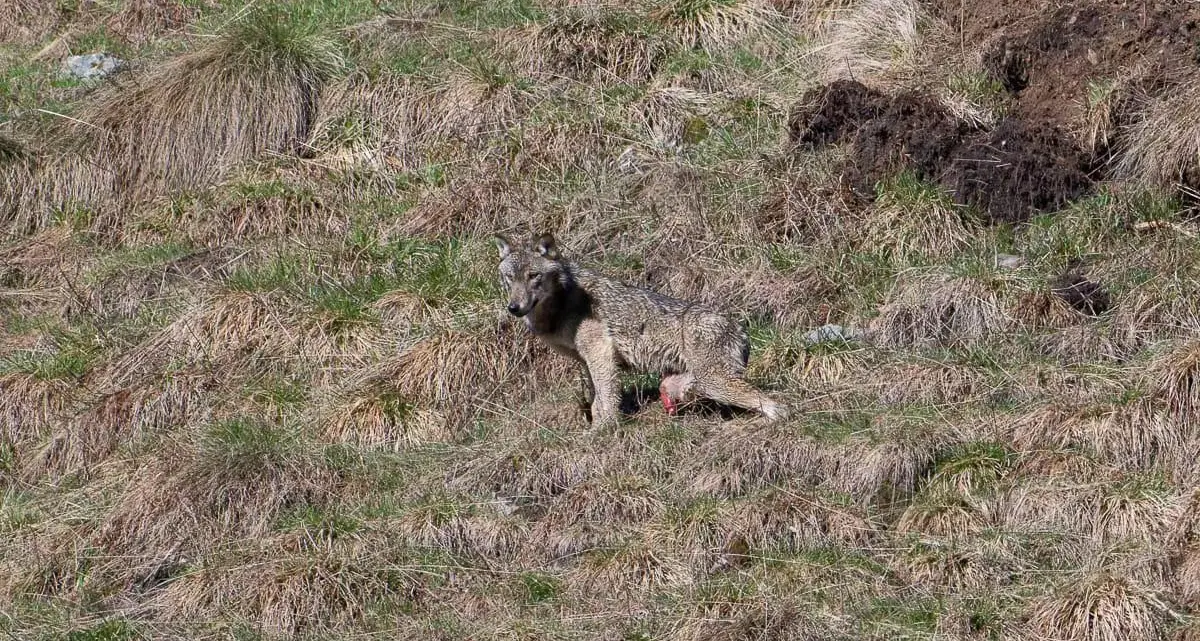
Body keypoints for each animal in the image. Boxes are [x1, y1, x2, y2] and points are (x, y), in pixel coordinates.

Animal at [496, 233, 788, 427]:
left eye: (533, 276)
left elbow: (605, 398)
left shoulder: (599, 351)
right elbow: (596, 398)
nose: (514, 307)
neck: (561, 302)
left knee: (773, 404)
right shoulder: (587, 359)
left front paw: (603, 429)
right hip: (693, 379)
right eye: (509, 278)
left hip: (716, 382)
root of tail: (739, 327)